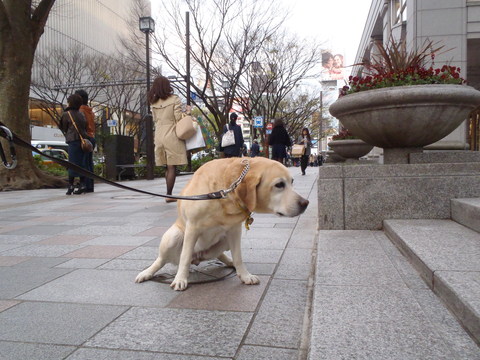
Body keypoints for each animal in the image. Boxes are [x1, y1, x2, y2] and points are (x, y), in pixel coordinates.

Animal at [135, 158, 310, 290]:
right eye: (279, 185)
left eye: (292, 181)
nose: (305, 203)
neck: (224, 193)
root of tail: (198, 257)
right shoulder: (192, 228)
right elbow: (184, 257)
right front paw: (180, 279)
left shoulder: (234, 230)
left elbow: (238, 256)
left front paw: (244, 275)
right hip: (173, 236)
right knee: (163, 259)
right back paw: (147, 272)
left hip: (224, 241)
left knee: (221, 254)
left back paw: (229, 262)